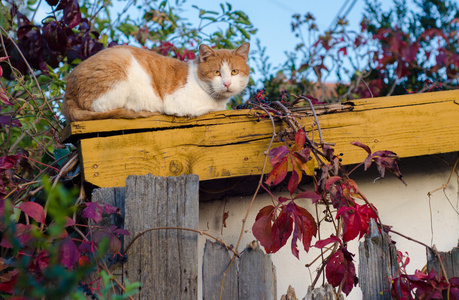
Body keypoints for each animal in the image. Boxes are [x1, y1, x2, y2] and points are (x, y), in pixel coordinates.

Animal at [62, 42, 252, 122]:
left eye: (234, 72)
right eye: (217, 73)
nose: (227, 83)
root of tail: (67, 93)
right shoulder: (179, 101)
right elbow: (212, 108)